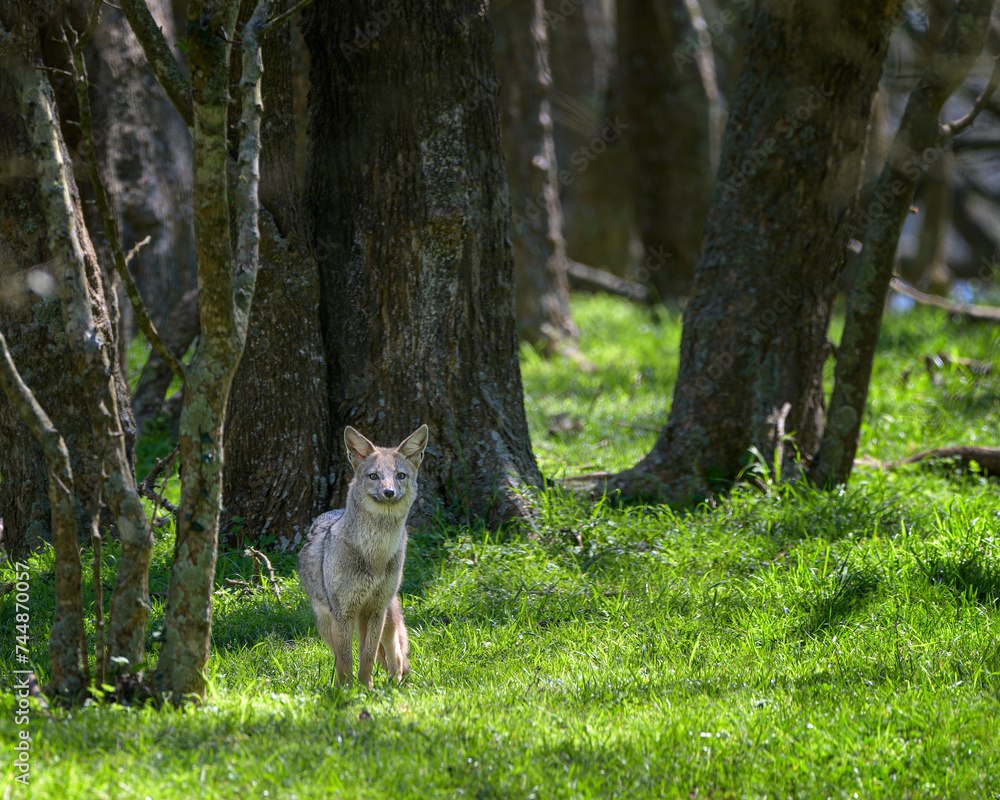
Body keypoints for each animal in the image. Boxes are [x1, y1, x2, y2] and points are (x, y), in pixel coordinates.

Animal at [298, 424, 428, 688]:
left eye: (400, 476)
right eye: (373, 476)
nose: (389, 492)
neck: (374, 554)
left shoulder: (376, 610)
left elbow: (367, 657)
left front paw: (366, 688)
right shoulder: (343, 613)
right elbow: (346, 661)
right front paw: (346, 691)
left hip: (387, 616)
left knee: (395, 654)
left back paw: (397, 682)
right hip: (327, 625)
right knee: (341, 655)